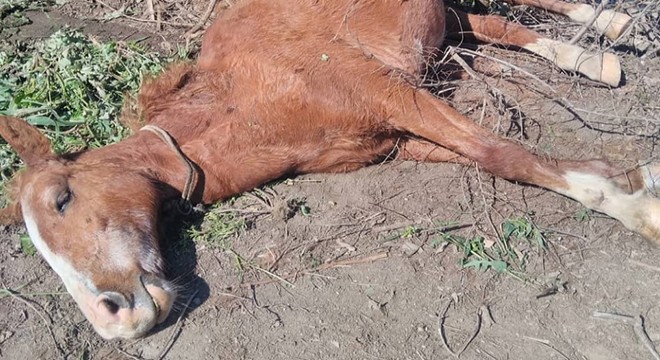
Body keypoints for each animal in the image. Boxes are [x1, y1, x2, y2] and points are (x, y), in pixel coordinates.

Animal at [0, 0, 656, 340]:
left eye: (61, 198)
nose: (114, 322)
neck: (250, 96)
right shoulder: (395, 139)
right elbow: (503, 159)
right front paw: (625, 181)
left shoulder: (390, 93)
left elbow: (505, 155)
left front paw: (637, 209)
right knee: (482, 19)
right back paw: (591, 53)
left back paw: (605, 25)